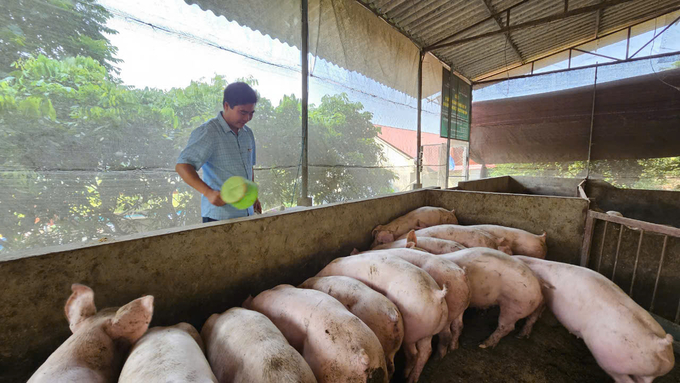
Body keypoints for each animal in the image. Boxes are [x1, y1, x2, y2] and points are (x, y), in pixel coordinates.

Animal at [316, 252, 448, 383]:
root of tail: (437, 294)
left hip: (412, 331)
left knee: (414, 353)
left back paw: (406, 376)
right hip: (428, 332)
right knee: (426, 351)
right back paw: (413, 378)